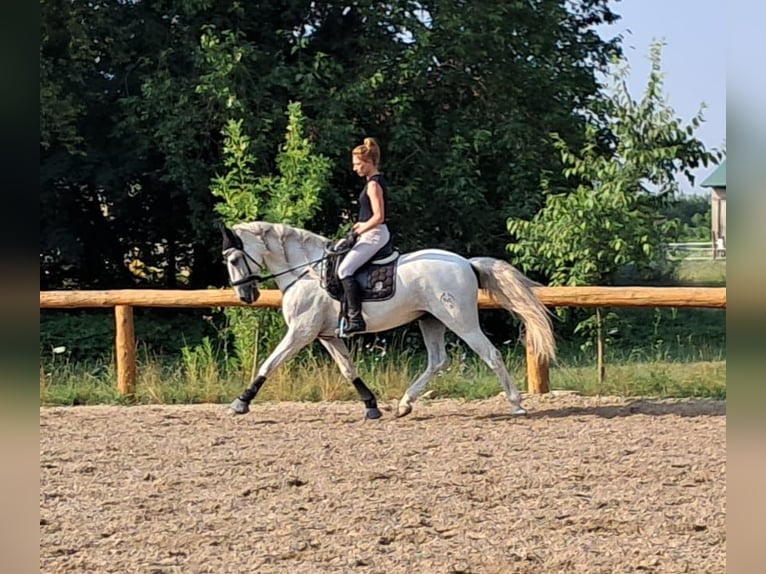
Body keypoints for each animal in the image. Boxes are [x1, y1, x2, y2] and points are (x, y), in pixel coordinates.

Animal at [224, 224, 560, 418]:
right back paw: (404, 405)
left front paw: (240, 402)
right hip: (430, 320)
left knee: (489, 354)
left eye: (234, 259)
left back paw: (517, 405)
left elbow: (269, 363)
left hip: (459, 320)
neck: (307, 272)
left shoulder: (301, 332)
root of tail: (466, 263)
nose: (245, 295)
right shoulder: (326, 335)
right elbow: (349, 369)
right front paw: (371, 406)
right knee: (438, 360)